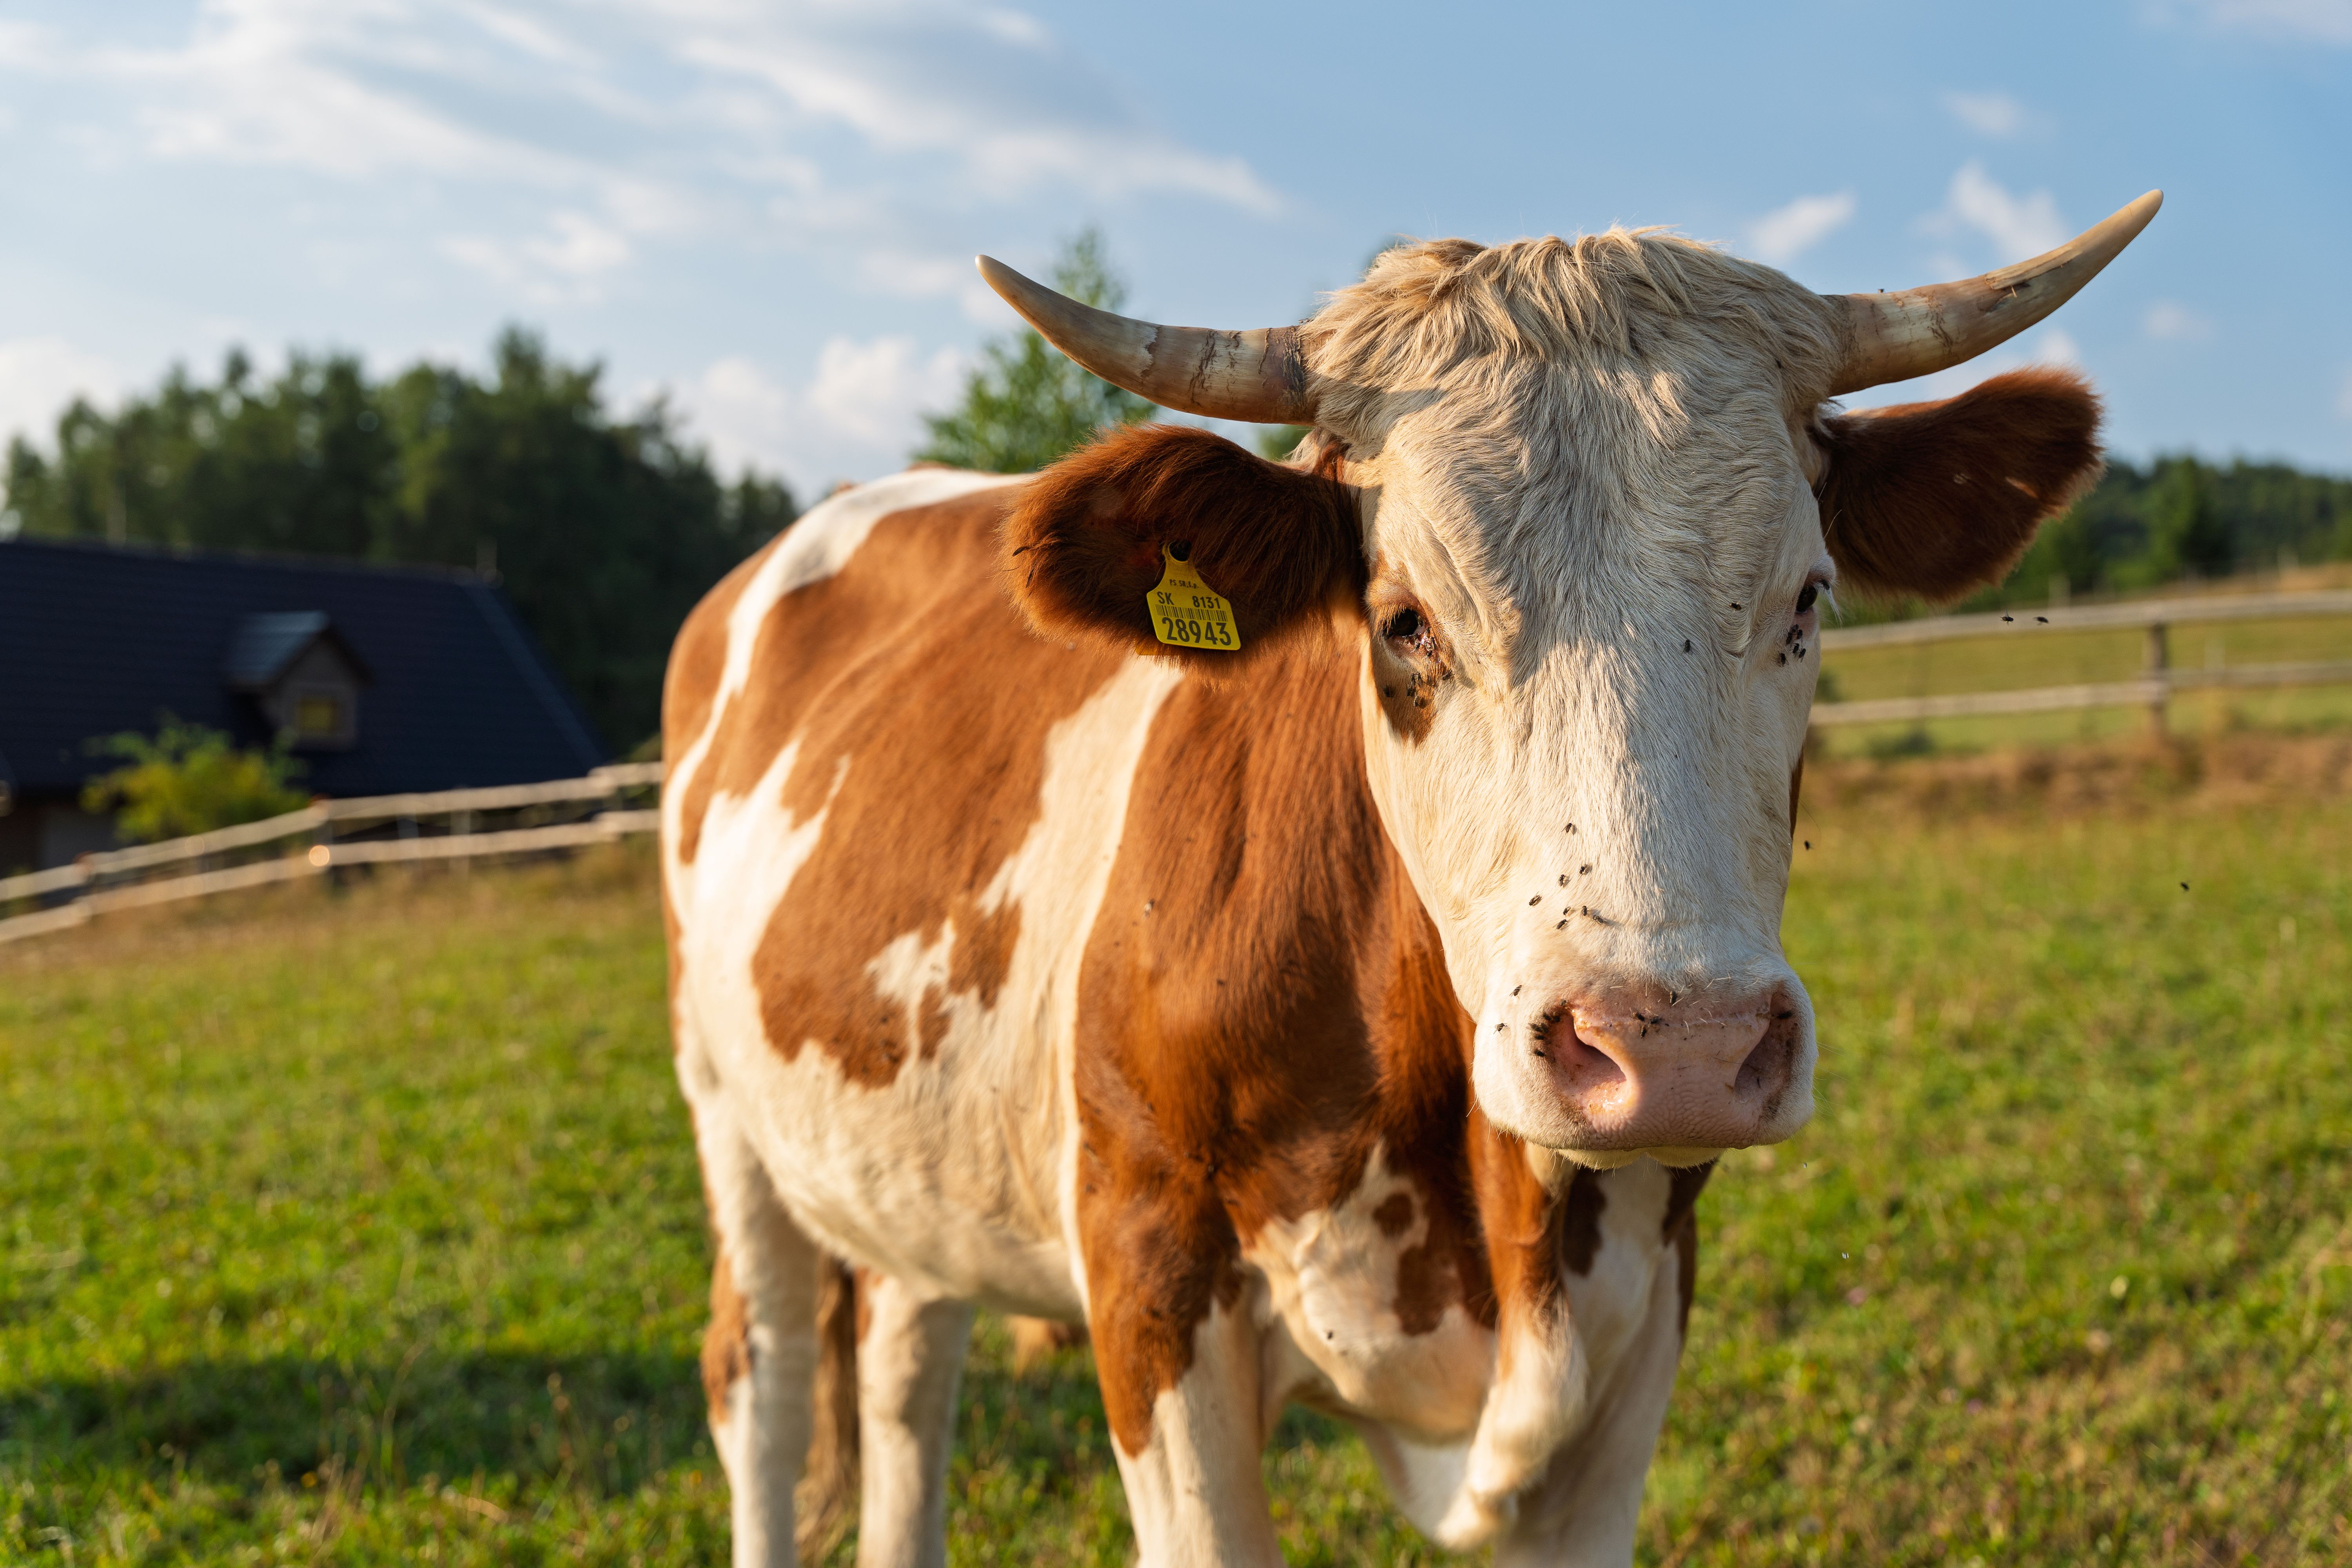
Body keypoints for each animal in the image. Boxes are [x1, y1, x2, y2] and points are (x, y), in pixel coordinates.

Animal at [662, 191, 2159, 1567]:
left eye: (1806, 600)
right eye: (1402, 621)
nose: (1673, 1049)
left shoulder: (1638, 1321)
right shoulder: (1152, 1281)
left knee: (906, 1369)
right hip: (727, 1114)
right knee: (767, 1383)